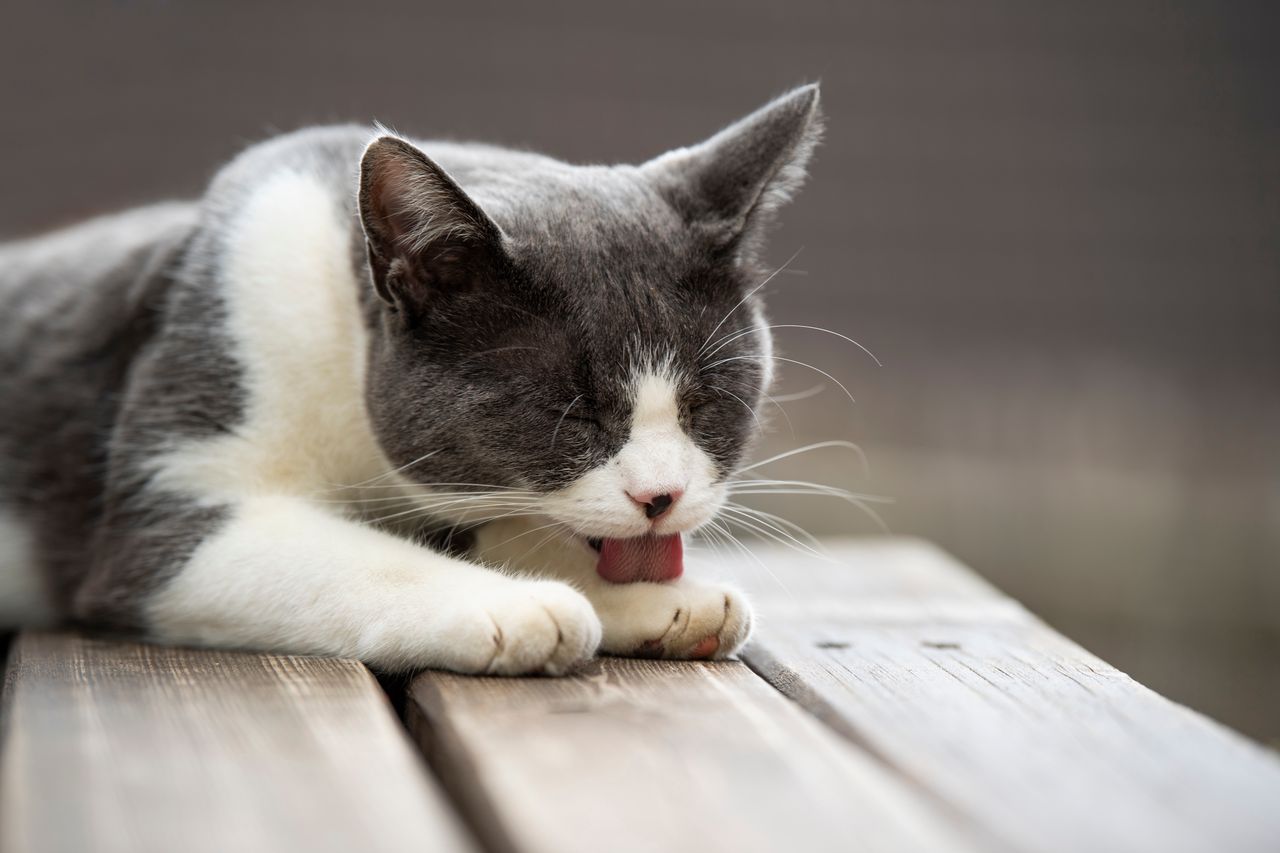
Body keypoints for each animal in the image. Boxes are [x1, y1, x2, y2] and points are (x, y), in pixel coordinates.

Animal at [0, 84, 819, 671]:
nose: (662, 497)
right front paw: (521, 607)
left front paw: (658, 599)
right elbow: (325, 555)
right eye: (574, 412)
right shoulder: (183, 441)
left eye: (705, 404)